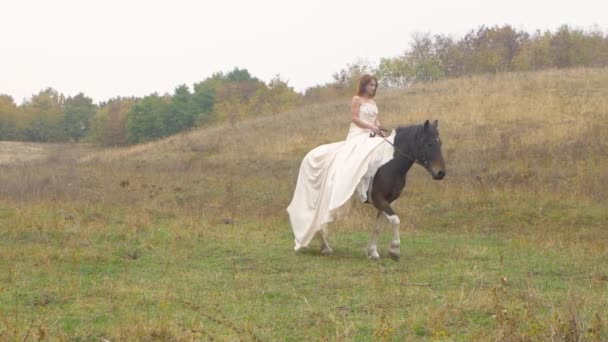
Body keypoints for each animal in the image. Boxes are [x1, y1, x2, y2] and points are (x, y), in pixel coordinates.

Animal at [318, 119, 446, 260]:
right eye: (429, 144)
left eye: (440, 143)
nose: (441, 173)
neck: (391, 165)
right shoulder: (378, 199)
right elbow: (395, 220)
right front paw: (394, 250)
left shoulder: (388, 201)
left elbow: (378, 226)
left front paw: (373, 252)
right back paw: (325, 248)